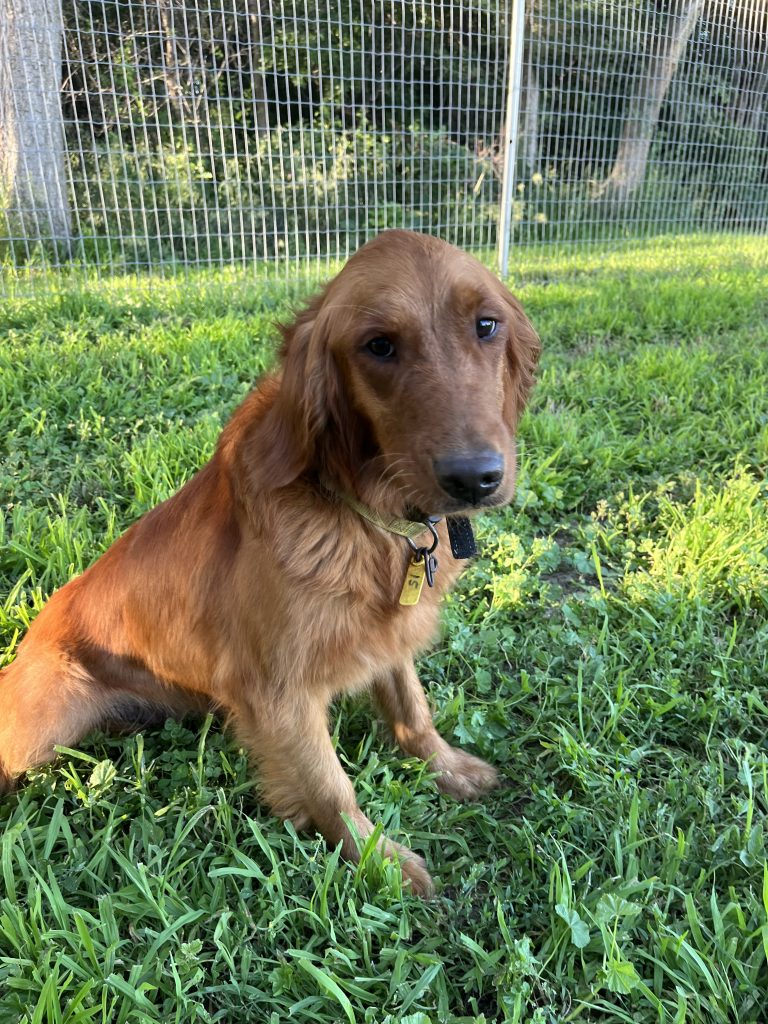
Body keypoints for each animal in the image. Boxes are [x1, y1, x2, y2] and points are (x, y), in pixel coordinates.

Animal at [0, 230, 539, 895]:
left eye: (486, 325)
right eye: (378, 345)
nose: (474, 479)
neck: (363, 514)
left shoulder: (386, 640)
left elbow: (413, 709)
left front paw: (447, 768)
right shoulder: (276, 691)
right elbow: (330, 785)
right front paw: (378, 863)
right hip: (45, 720)